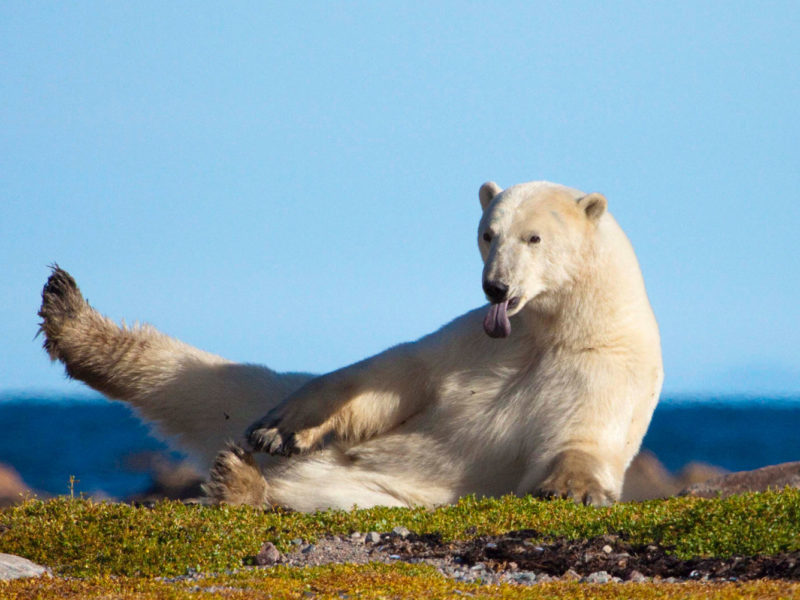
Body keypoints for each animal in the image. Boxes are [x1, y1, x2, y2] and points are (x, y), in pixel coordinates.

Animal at [37, 179, 664, 510]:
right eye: (488, 233)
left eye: (534, 238)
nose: (496, 287)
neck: (549, 326)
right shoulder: (472, 344)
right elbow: (395, 374)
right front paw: (282, 428)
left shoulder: (601, 366)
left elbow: (582, 438)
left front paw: (569, 488)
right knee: (211, 382)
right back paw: (70, 316)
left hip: (390, 487)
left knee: (327, 493)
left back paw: (241, 484)